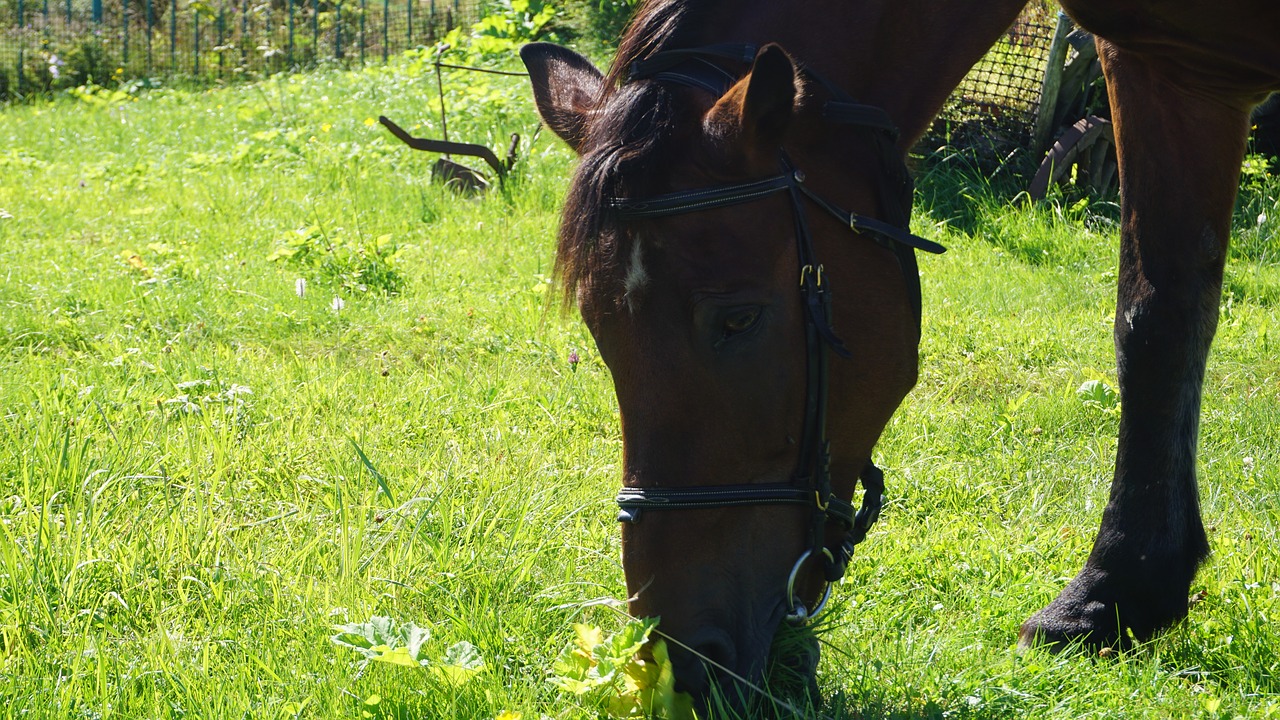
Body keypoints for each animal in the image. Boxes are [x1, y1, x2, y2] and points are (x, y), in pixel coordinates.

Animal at [519, 0, 1280, 707]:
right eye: (598, 331)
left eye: (737, 318)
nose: (680, 660)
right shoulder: (1173, 70)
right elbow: (1158, 316)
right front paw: (1116, 598)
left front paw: (1113, 591)